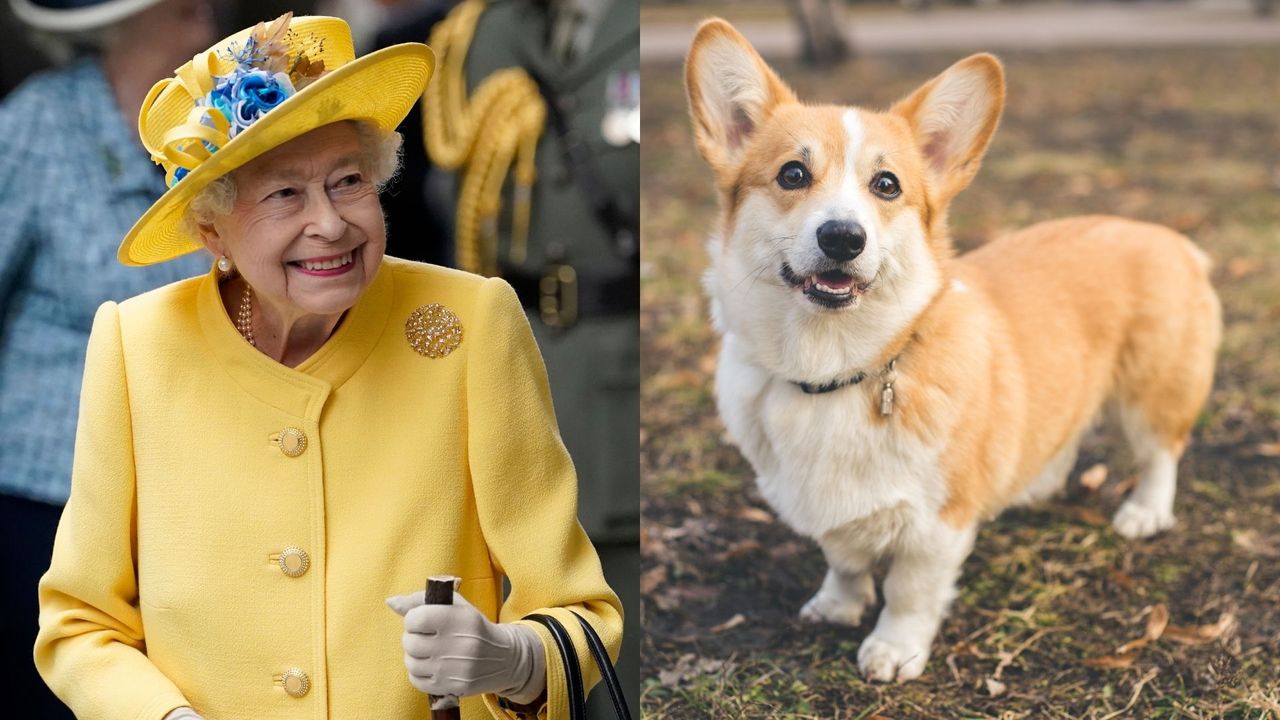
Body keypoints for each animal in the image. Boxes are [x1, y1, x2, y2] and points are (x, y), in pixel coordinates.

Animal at [686, 18, 1223, 676]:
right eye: (792, 174)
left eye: (886, 185)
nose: (843, 237)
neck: (834, 367)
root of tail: (1172, 238)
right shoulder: (830, 513)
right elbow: (843, 559)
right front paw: (837, 605)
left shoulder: (935, 527)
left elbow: (909, 591)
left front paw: (893, 650)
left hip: (1151, 394)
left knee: (1160, 454)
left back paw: (1145, 512)